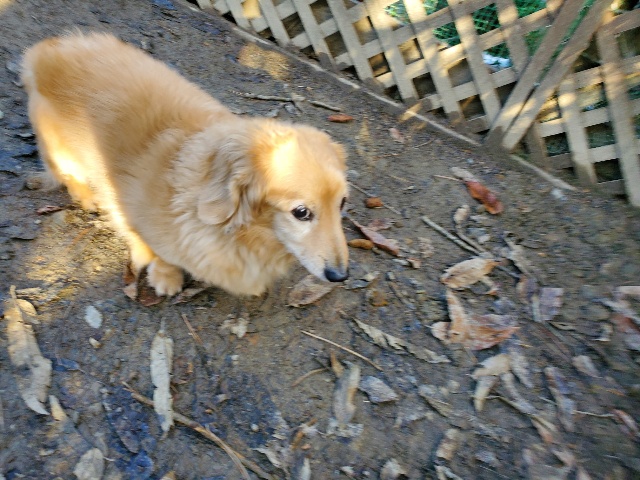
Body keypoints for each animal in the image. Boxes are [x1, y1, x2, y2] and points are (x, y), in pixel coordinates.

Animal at [22, 32, 349, 297]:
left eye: (342, 203)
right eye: (301, 213)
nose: (340, 276)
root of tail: (46, 52)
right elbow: (156, 249)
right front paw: (165, 275)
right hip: (62, 151)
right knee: (69, 176)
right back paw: (87, 197)